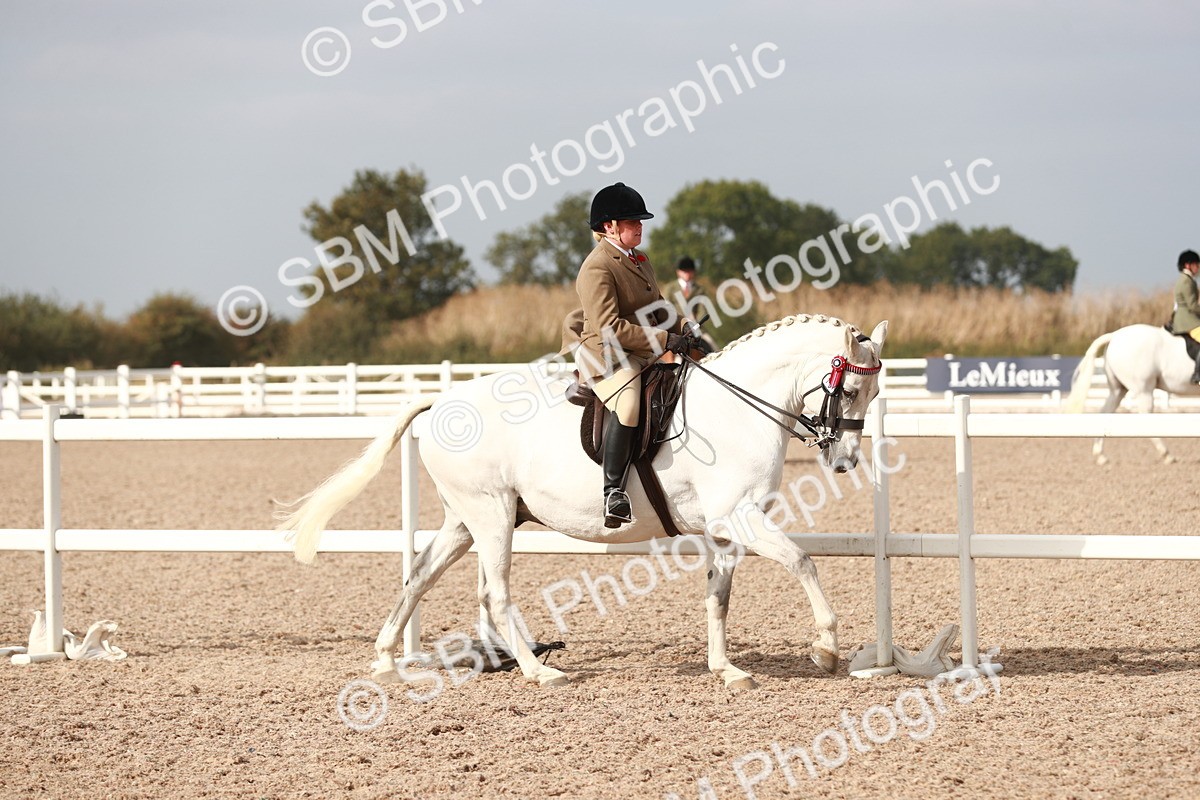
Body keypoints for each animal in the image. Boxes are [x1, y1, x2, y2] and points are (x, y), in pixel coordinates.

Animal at [278, 314, 889, 690]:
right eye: (852, 389)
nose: (844, 462)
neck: (735, 409)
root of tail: (442, 401)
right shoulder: (742, 519)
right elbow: (803, 562)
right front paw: (825, 648)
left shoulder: (724, 528)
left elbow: (719, 597)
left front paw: (727, 669)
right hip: (491, 516)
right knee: (494, 594)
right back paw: (538, 672)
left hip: (466, 519)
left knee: (419, 577)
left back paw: (387, 661)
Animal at [1064, 323, 1200, 465]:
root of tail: (1114, 335)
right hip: (1144, 390)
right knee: (1145, 418)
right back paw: (1167, 455)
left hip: (1118, 390)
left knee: (1105, 412)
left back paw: (1100, 455)